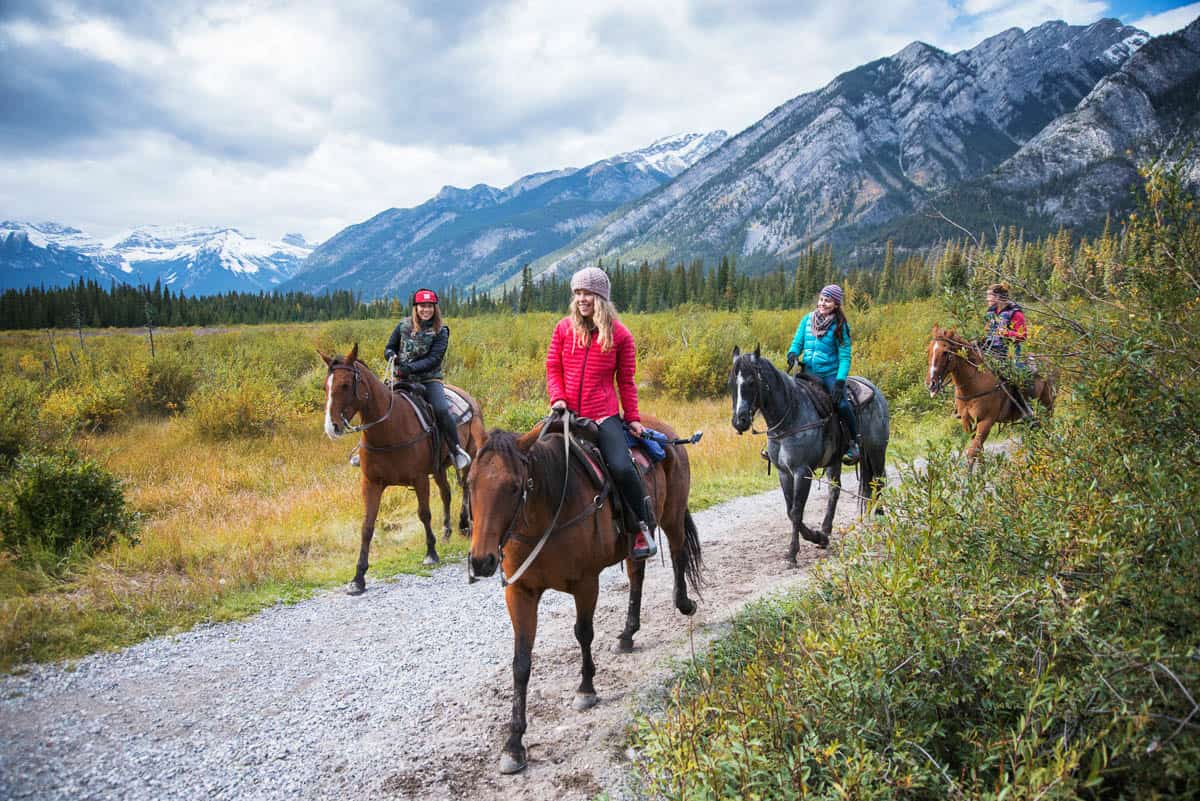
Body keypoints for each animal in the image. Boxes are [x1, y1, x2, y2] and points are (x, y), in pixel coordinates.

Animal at [324, 345, 487, 594]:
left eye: (344, 385)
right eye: (326, 386)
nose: (331, 427)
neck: (389, 428)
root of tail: (469, 398)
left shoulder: (419, 479)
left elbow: (424, 513)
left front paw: (431, 553)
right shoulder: (371, 483)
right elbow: (367, 527)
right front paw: (358, 577)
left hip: (469, 457)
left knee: (467, 487)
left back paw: (465, 525)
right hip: (438, 469)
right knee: (446, 493)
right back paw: (447, 531)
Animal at [465, 412, 700, 777]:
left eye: (515, 486)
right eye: (470, 483)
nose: (481, 561)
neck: (547, 514)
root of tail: (663, 430)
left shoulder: (586, 583)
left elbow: (584, 633)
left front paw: (586, 689)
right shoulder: (520, 592)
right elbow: (521, 662)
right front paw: (514, 744)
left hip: (672, 515)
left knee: (677, 553)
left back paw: (684, 603)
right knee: (637, 575)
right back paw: (628, 633)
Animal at [724, 345, 888, 563]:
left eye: (751, 382)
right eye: (731, 383)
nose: (739, 421)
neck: (789, 417)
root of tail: (874, 390)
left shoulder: (802, 472)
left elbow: (796, 511)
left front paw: (792, 553)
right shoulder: (784, 473)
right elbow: (790, 510)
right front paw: (818, 537)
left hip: (876, 451)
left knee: (878, 482)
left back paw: (878, 517)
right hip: (835, 460)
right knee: (835, 490)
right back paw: (826, 531)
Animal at [921, 326, 1056, 460]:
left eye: (945, 352)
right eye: (928, 351)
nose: (931, 383)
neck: (975, 383)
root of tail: (1049, 361)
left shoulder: (986, 421)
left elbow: (973, 452)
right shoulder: (967, 422)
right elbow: (978, 451)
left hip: (1046, 408)